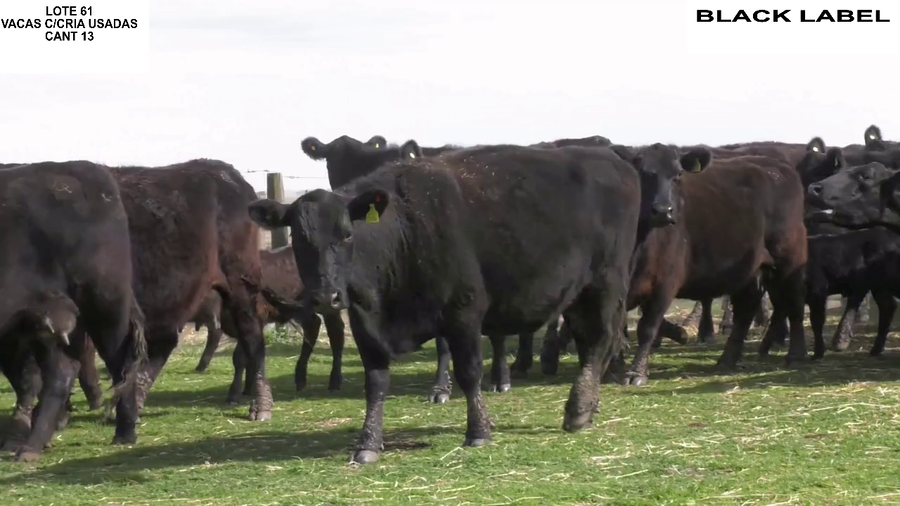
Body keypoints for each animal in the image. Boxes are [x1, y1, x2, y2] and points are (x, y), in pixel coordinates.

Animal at [0, 161, 146, 462]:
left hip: (103, 305)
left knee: (117, 362)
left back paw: (124, 432)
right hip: (44, 325)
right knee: (59, 371)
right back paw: (31, 443)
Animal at [248, 139, 703, 464]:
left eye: (346, 234)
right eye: (300, 240)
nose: (326, 295)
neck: (405, 230)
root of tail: (612, 159)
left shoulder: (464, 311)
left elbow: (469, 373)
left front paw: (479, 431)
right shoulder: (365, 322)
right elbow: (375, 385)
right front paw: (368, 443)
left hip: (606, 282)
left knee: (601, 340)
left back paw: (577, 410)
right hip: (577, 291)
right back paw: (590, 406)